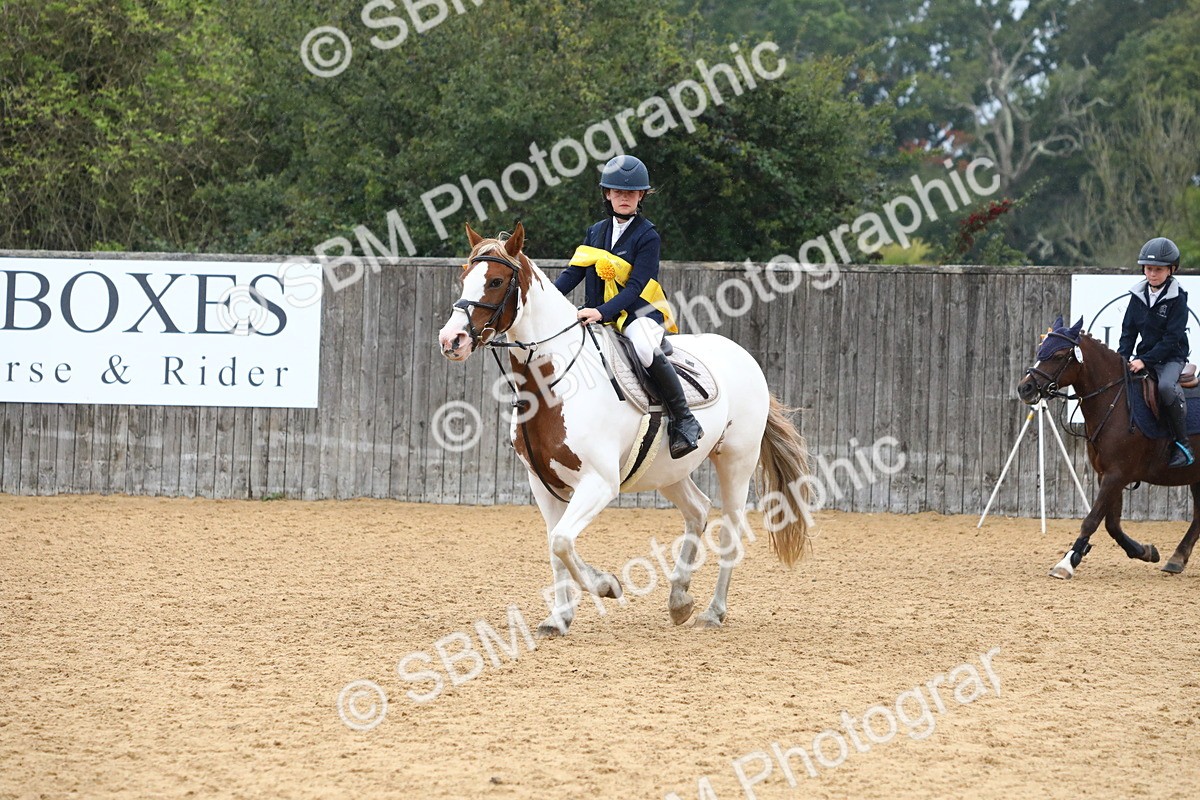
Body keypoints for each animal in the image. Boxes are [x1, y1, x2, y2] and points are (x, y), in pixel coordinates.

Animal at [436, 222, 813, 635]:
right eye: (464, 277)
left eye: (496, 281)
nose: (451, 340)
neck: (554, 384)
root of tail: (744, 356)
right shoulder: (542, 483)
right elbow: (554, 545)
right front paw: (559, 617)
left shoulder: (599, 483)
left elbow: (563, 541)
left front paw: (607, 585)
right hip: (668, 468)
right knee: (697, 509)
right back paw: (679, 599)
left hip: (735, 461)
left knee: (730, 530)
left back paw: (712, 612)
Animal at [1016, 315, 1200, 579]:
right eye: (1041, 350)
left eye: (1059, 355)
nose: (1025, 388)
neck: (1115, 402)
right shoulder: (1108, 475)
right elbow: (1112, 523)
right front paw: (1145, 551)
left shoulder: (1117, 474)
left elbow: (1092, 520)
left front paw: (1067, 561)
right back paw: (1176, 559)